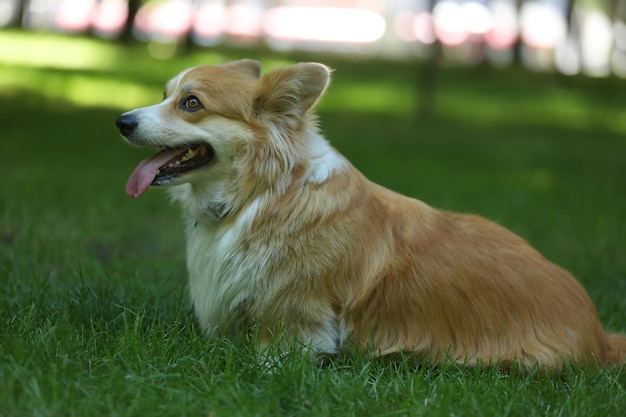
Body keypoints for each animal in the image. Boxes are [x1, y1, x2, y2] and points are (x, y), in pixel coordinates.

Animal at [114, 59, 620, 370]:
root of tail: (600, 335)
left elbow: (279, 352)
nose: (121, 121)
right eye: (165, 93)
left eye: (192, 103)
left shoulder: (299, 309)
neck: (264, 192)